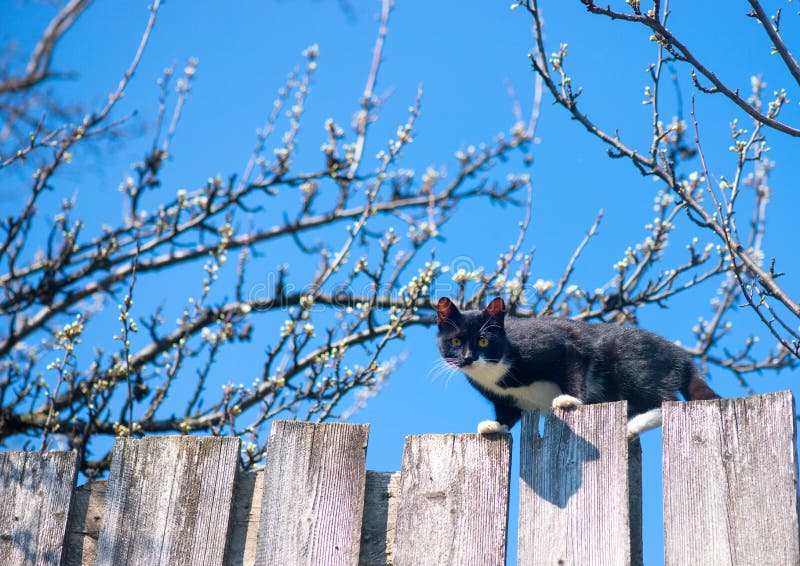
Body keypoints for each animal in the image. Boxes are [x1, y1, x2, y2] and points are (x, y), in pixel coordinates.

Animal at [434, 298, 720, 440]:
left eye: (483, 341)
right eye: (456, 342)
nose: (468, 358)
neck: (495, 371)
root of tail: (683, 357)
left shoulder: (556, 345)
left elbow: (574, 360)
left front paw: (570, 399)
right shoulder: (504, 399)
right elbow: (508, 413)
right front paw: (494, 425)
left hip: (632, 362)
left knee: (669, 401)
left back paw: (633, 425)